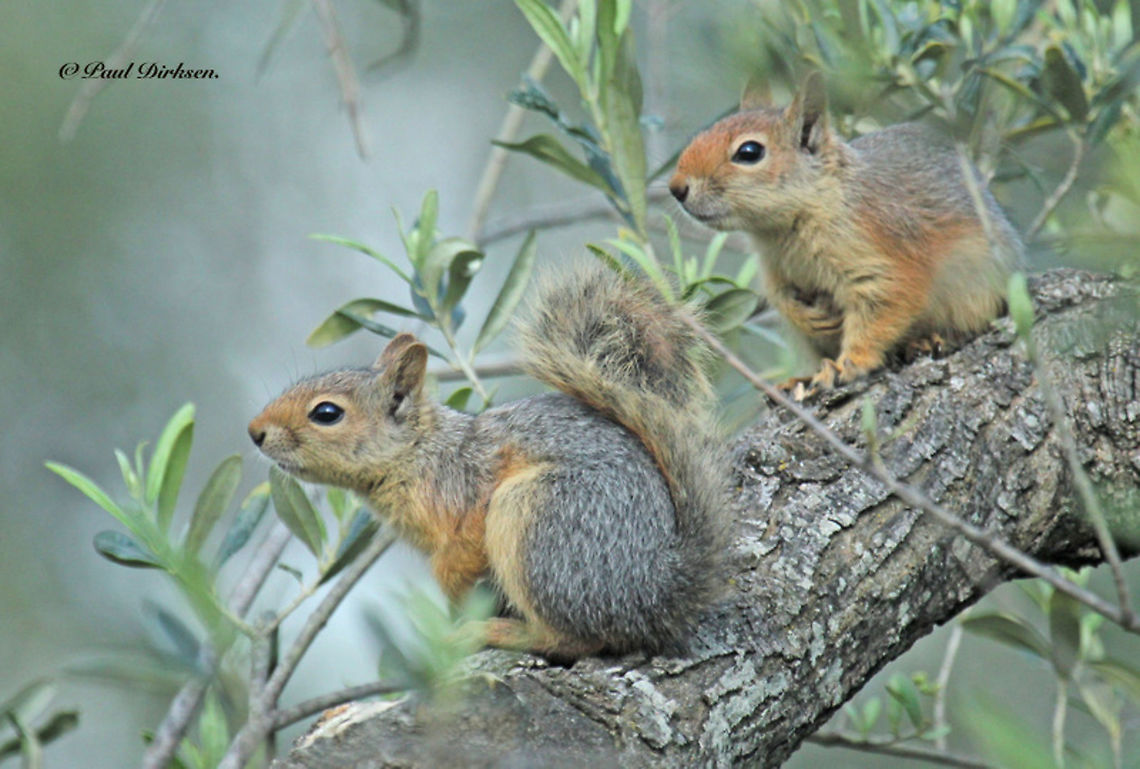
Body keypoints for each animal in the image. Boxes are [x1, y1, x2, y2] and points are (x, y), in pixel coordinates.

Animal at [247, 265, 730, 659]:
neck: (418, 453)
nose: (254, 432)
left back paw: (498, 632)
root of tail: (656, 592)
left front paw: (452, 599)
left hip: (539, 521)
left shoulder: (465, 494)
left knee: (577, 638)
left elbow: (460, 554)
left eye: (327, 413)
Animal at [669, 72, 1024, 396]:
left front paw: (850, 364)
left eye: (749, 152)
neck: (786, 230)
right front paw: (809, 319)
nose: (676, 188)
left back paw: (928, 340)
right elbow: (782, 299)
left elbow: (882, 311)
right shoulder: (775, 271)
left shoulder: (886, 257)